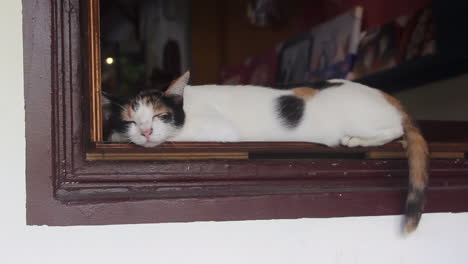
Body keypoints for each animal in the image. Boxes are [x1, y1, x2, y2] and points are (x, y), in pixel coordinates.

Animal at [105, 70, 428, 233]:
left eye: (161, 116)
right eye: (131, 120)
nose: (145, 131)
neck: (189, 104)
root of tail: (389, 98)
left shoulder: (219, 131)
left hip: (367, 120)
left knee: (395, 130)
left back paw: (356, 140)